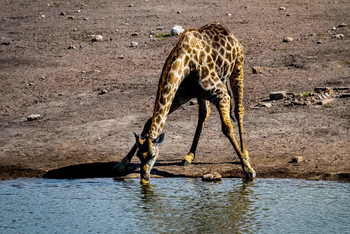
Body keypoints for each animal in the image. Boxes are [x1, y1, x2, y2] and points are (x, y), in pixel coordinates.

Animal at [113, 24, 256, 185]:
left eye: (152, 155)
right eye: (139, 155)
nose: (144, 179)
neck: (186, 64)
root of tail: (227, 30)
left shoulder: (221, 94)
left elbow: (227, 128)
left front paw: (248, 169)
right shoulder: (179, 96)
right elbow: (149, 122)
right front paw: (122, 163)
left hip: (238, 68)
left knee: (238, 109)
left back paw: (245, 154)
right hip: (201, 94)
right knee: (204, 113)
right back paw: (189, 155)